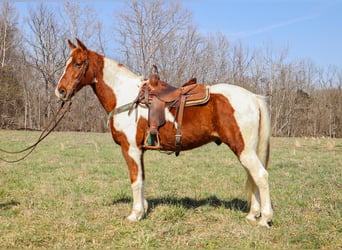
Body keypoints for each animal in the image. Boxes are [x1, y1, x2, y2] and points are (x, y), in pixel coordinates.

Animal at [54, 38, 274, 228]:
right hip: (245, 151)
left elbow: (135, 181)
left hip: (244, 150)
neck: (125, 96)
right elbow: (142, 179)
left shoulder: (131, 149)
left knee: (261, 175)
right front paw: (143, 210)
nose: (61, 91)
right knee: (253, 176)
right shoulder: (140, 150)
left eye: (78, 64)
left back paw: (265, 219)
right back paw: (252, 215)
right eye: (67, 63)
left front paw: (134, 214)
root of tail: (253, 97)